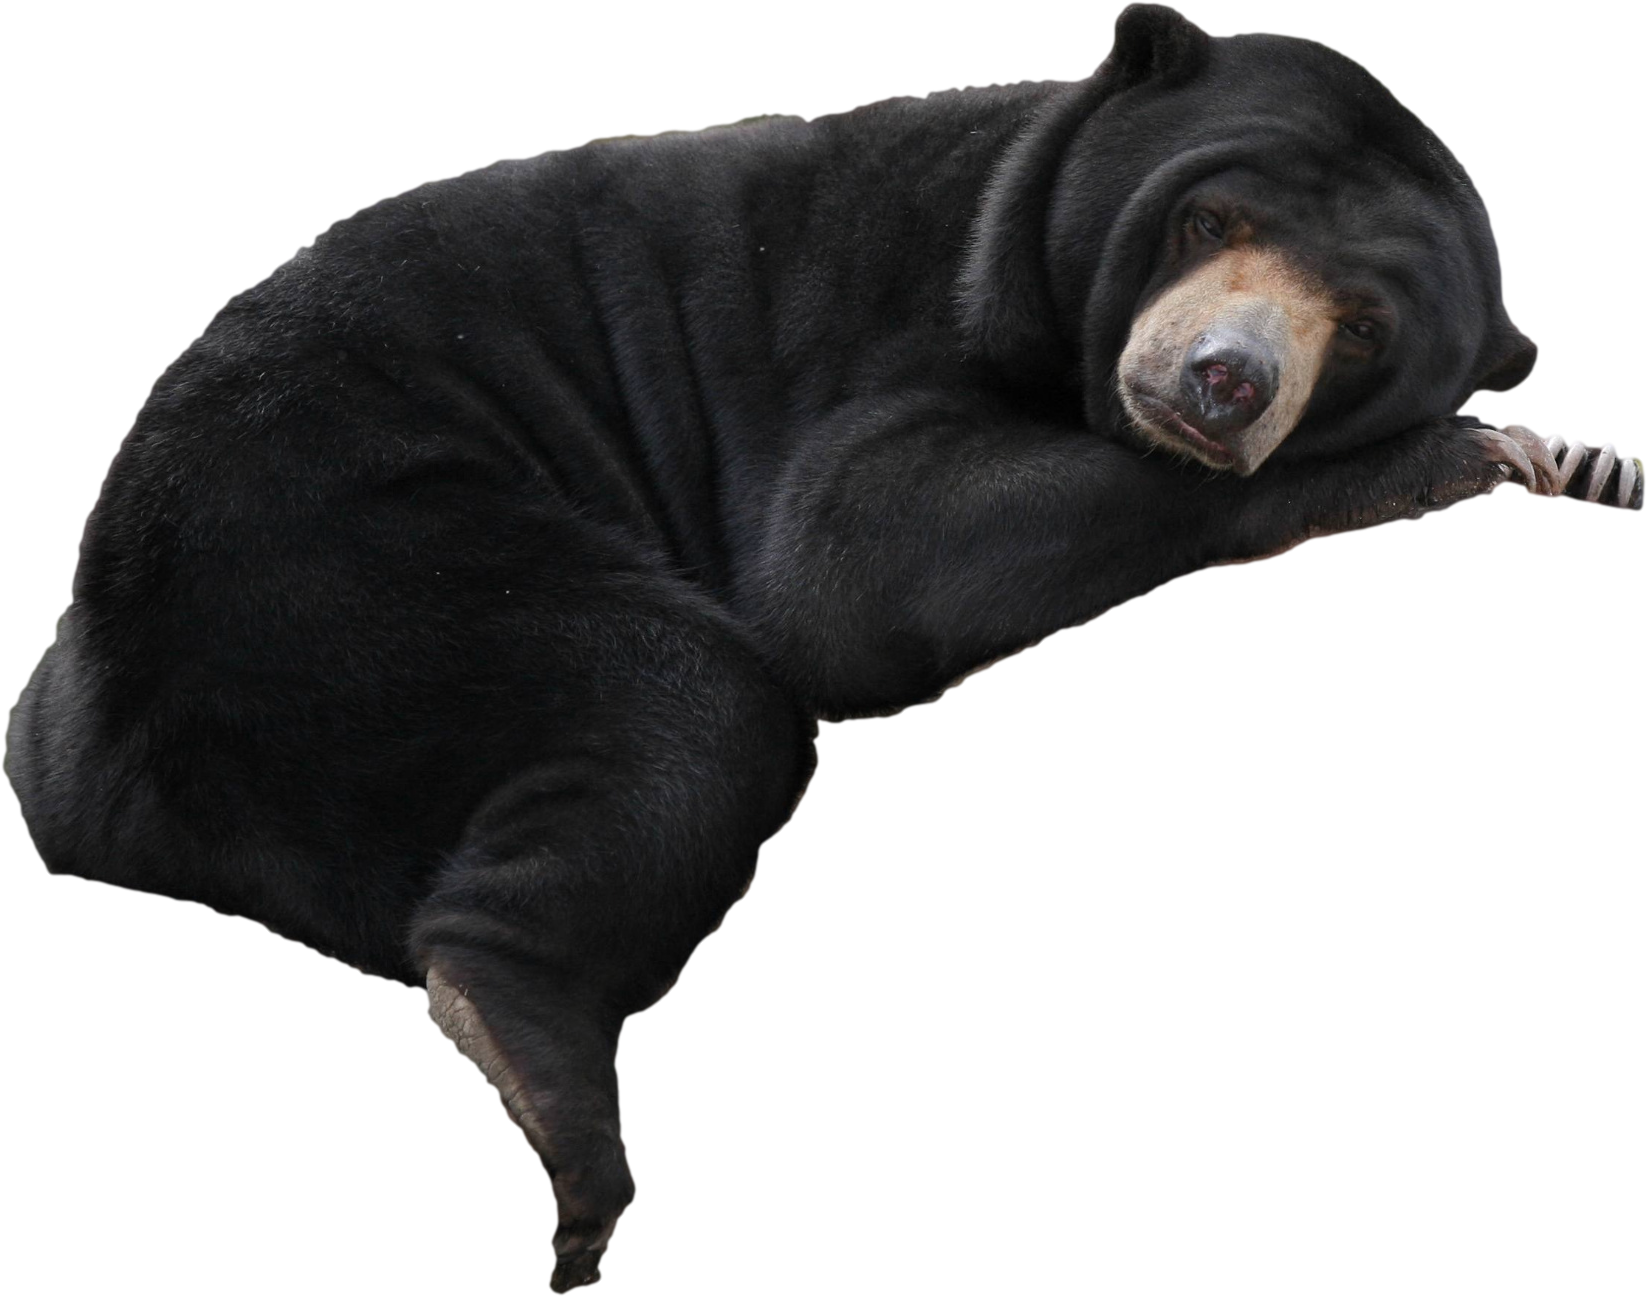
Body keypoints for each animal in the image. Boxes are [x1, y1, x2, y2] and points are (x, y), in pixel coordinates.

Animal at [5, 4, 1640, 1290]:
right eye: (1206, 223)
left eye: (1359, 325)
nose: (1222, 383)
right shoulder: (881, 328)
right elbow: (851, 561)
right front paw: (1469, 454)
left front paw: (1562, 455)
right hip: (336, 554)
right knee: (690, 707)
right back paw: (547, 1088)